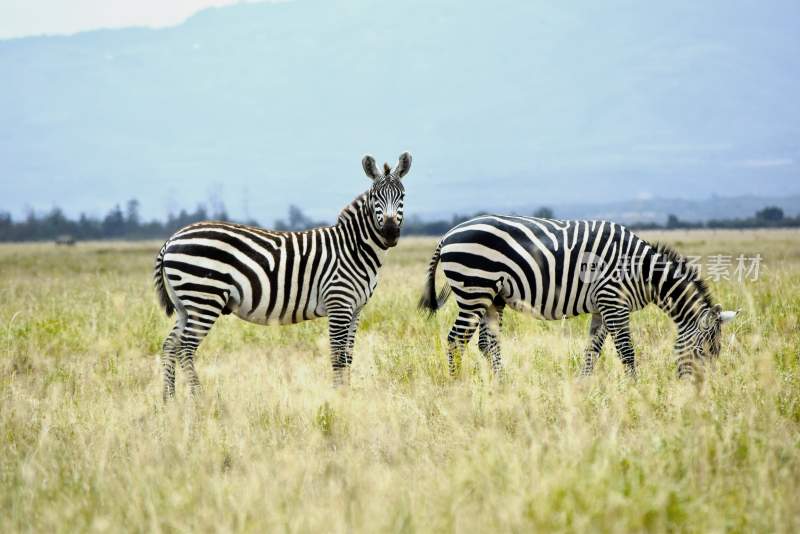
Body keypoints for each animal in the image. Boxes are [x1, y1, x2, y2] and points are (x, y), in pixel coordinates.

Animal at [153, 153, 412, 400]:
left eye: (402, 196)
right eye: (375, 197)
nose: (390, 233)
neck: (353, 248)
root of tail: (171, 239)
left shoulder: (356, 309)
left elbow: (348, 355)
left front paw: (347, 395)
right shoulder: (338, 303)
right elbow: (337, 355)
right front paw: (339, 397)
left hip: (186, 304)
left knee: (169, 345)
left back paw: (169, 400)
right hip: (204, 298)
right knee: (185, 348)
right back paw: (199, 399)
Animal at [418, 216, 736, 378]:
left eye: (716, 352)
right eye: (704, 351)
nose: (702, 392)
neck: (642, 271)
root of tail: (448, 234)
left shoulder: (603, 307)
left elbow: (592, 349)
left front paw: (586, 386)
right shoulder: (613, 302)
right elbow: (626, 350)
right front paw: (635, 389)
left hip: (491, 298)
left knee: (487, 343)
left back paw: (501, 384)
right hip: (474, 290)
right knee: (455, 340)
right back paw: (457, 385)